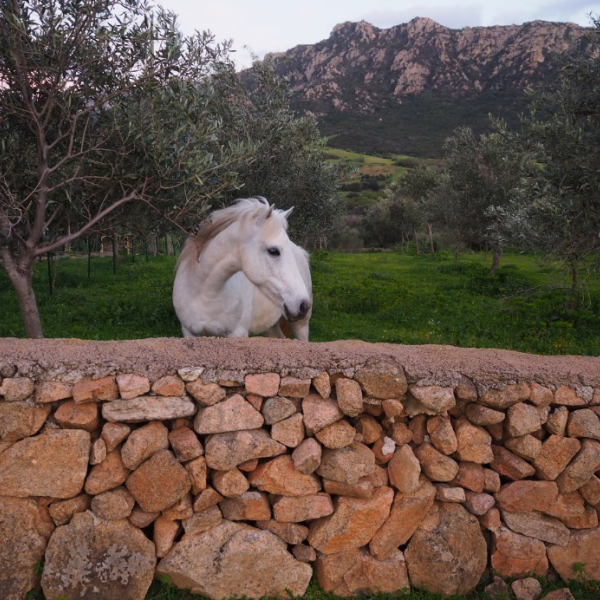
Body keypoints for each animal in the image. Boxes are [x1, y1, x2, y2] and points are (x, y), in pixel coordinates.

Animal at [173, 197, 312, 338]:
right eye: (273, 251)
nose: (303, 305)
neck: (203, 294)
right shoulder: (189, 333)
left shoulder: (238, 333)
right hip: (271, 326)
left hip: (301, 325)